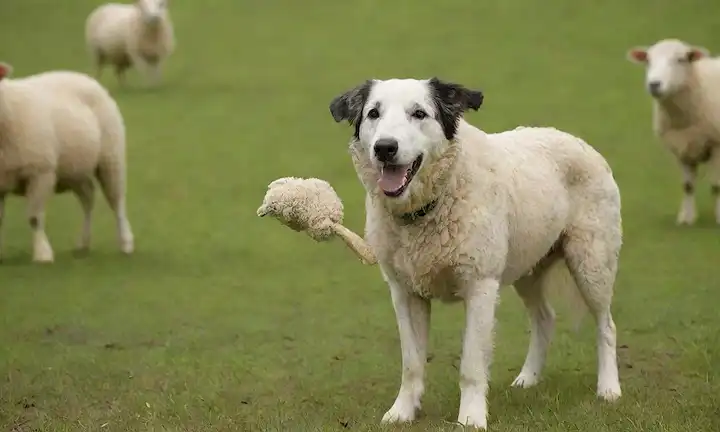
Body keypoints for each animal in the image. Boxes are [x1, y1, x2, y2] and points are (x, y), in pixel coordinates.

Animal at [0, 62, 134, 263]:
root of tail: (84, 77)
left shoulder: (42, 172)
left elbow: (34, 218)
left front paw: (43, 255)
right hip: (75, 169)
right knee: (88, 197)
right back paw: (83, 243)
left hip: (111, 157)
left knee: (116, 201)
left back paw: (126, 243)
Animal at [627, 38, 720, 225]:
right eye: (648, 60)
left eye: (680, 59)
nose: (654, 84)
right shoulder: (681, 147)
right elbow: (687, 186)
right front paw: (687, 218)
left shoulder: (716, 145)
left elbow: (716, 186)